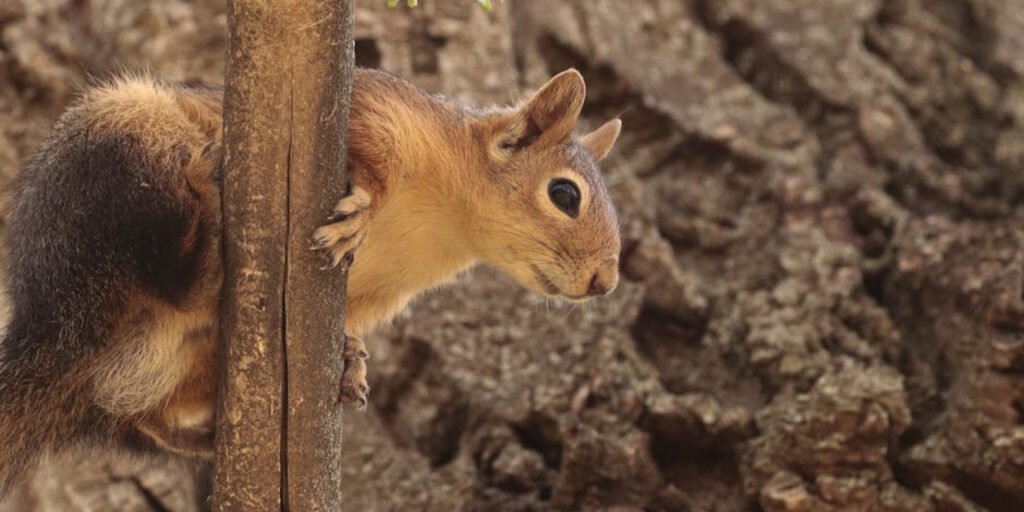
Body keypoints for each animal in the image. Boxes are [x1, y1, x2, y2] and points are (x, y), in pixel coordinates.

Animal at [0, 68, 622, 491]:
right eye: (564, 194)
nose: (605, 283)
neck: (447, 228)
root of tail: (51, 325)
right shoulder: (377, 108)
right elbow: (370, 156)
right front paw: (362, 213)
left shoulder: (382, 293)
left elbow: (353, 324)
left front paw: (353, 359)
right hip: (129, 143)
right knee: (172, 278)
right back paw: (209, 215)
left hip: (171, 371)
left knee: (142, 418)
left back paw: (202, 437)